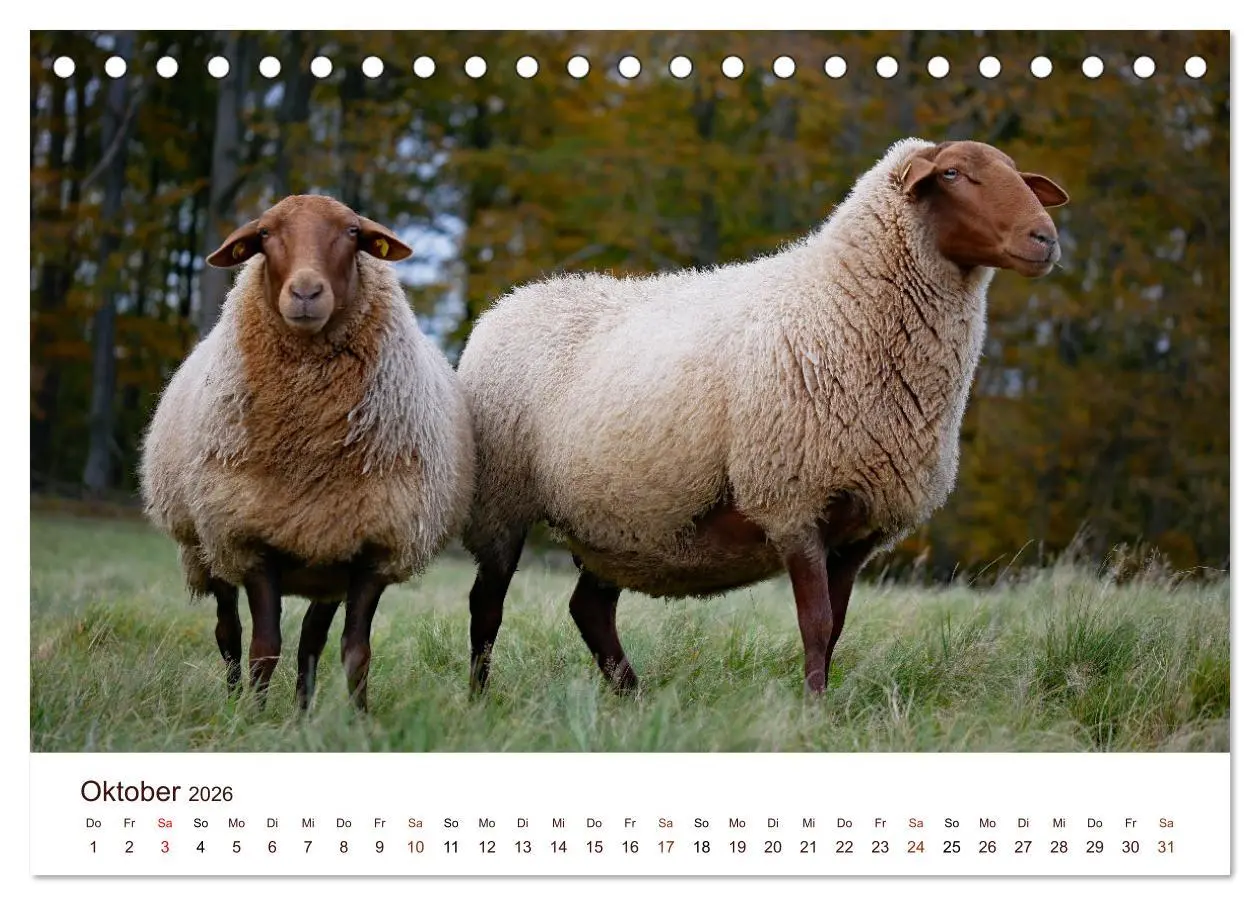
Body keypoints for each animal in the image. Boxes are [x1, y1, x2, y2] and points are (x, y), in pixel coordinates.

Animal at [140, 194, 474, 710]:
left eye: (353, 232)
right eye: (264, 235)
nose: (305, 292)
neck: (310, 453)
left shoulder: (372, 548)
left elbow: (355, 651)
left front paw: (358, 718)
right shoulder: (250, 539)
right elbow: (264, 646)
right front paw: (253, 717)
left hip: (325, 561)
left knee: (311, 644)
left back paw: (301, 712)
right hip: (208, 545)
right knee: (228, 631)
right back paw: (234, 699)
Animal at [458, 138, 1069, 695]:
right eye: (952, 173)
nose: (1046, 238)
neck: (840, 301)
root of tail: (511, 300)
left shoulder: (858, 529)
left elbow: (836, 629)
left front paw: (823, 704)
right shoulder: (793, 500)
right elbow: (816, 625)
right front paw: (814, 714)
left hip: (612, 524)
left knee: (590, 610)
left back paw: (631, 697)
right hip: (503, 502)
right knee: (487, 605)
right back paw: (480, 699)